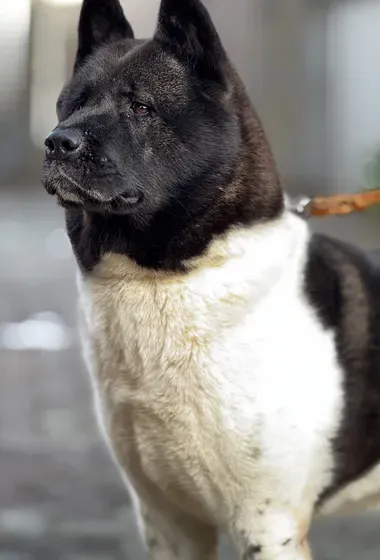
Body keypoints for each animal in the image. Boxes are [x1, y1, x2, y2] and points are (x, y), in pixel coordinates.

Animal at [41, 0, 380, 556]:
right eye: (70, 107)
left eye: (141, 107)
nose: (55, 142)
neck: (168, 277)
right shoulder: (169, 522)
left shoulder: (269, 525)